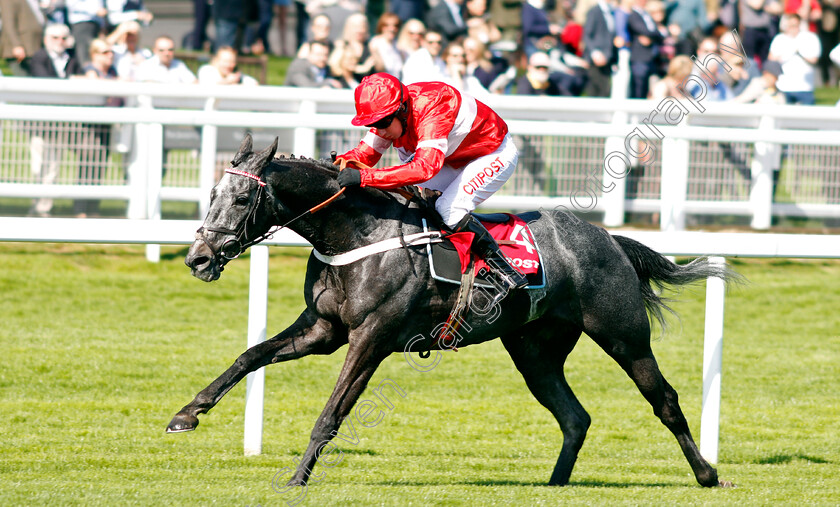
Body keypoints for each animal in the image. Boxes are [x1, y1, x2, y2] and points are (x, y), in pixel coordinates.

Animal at [169, 133, 736, 490]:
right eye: (213, 192)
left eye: (241, 199)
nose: (198, 258)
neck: (357, 233)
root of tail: (610, 239)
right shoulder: (324, 329)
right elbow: (249, 356)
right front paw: (187, 414)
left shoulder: (372, 336)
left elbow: (332, 413)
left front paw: (297, 477)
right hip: (535, 351)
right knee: (574, 416)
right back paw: (555, 483)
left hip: (623, 335)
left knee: (664, 400)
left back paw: (708, 474)